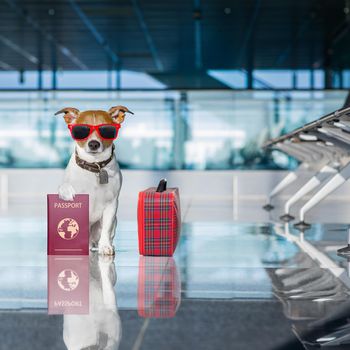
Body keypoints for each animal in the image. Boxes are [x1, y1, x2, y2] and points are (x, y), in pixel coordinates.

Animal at [55, 105, 133, 256]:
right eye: (81, 130)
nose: (94, 144)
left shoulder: (111, 204)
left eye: (107, 129)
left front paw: (105, 246)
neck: (95, 166)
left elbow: (106, 229)